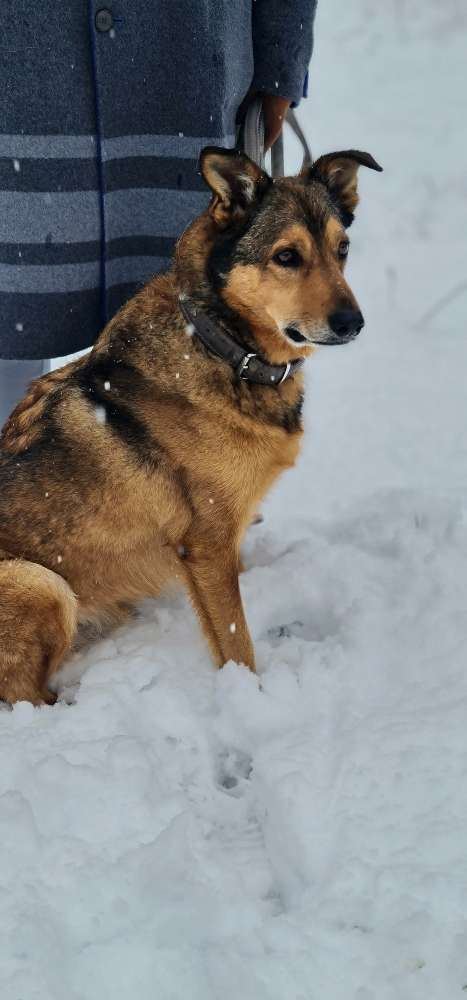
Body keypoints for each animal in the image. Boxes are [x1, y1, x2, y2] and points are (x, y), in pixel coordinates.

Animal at [0, 145, 380, 704]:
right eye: (287, 257)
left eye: (343, 249)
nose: (353, 323)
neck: (223, 345)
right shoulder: (205, 544)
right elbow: (236, 640)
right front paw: (253, 699)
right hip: (41, 584)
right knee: (24, 695)